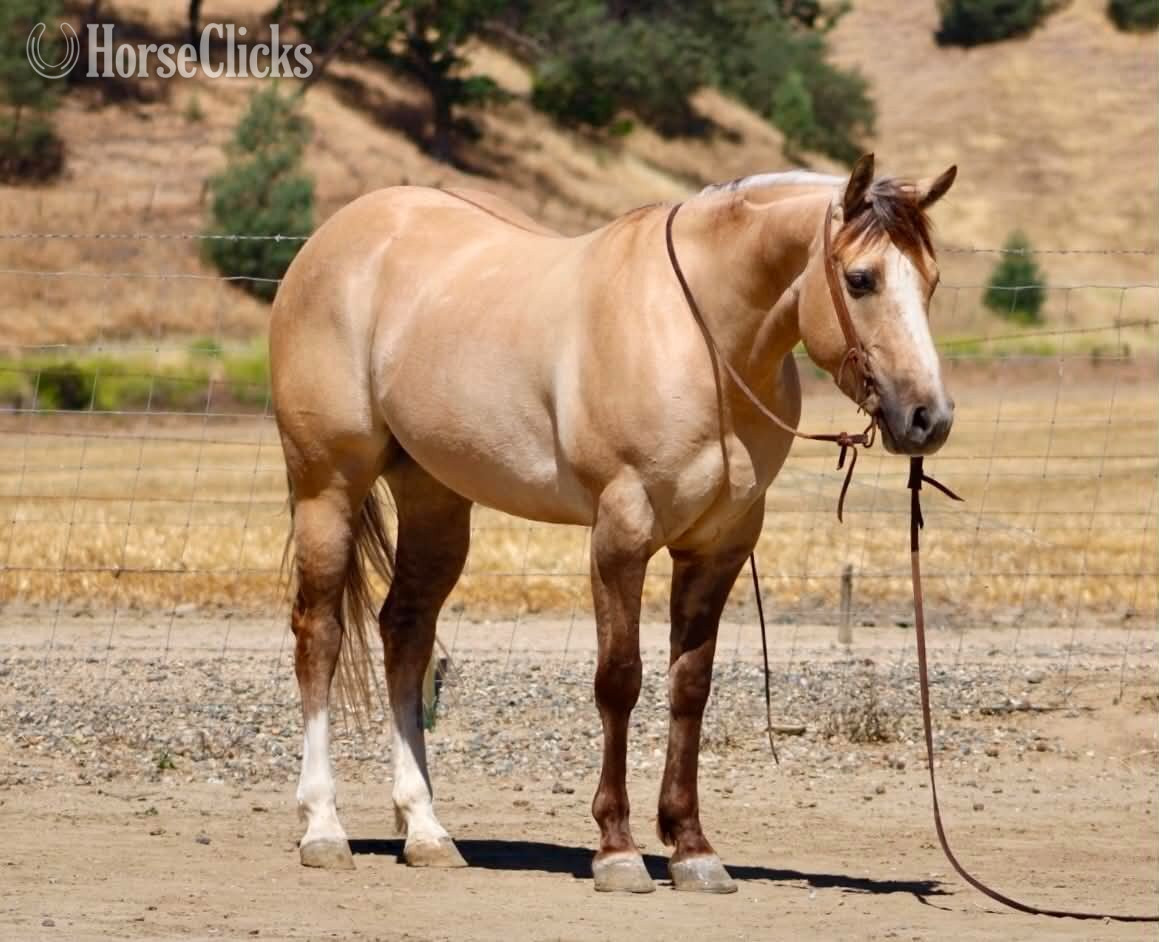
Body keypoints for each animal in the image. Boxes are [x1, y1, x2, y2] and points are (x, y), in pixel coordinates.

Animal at [268, 153, 958, 894]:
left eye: (931, 280)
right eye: (860, 279)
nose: (928, 418)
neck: (700, 339)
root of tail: (335, 238)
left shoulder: (718, 546)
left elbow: (690, 686)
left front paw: (691, 849)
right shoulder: (621, 533)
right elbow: (619, 679)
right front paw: (618, 849)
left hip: (434, 497)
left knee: (405, 632)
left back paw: (425, 830)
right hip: (327, 486)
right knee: (320, 635)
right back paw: (323, 827)